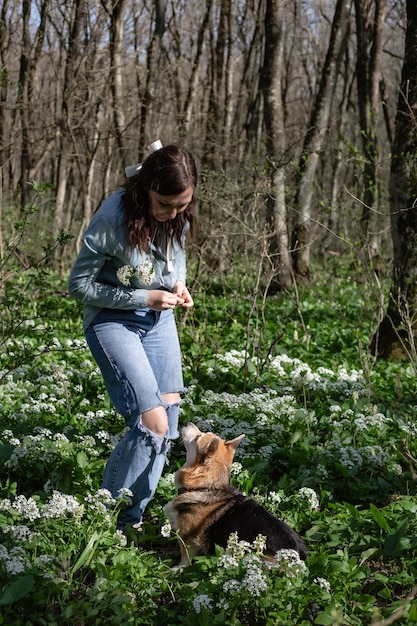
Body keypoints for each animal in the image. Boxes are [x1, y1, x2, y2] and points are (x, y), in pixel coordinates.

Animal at [164, 422, 308, 564]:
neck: (205, 487)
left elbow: (185, 557)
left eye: (197, 437)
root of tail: (296, 557)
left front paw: (178, 568)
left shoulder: (186, 538)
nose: (187, 423)